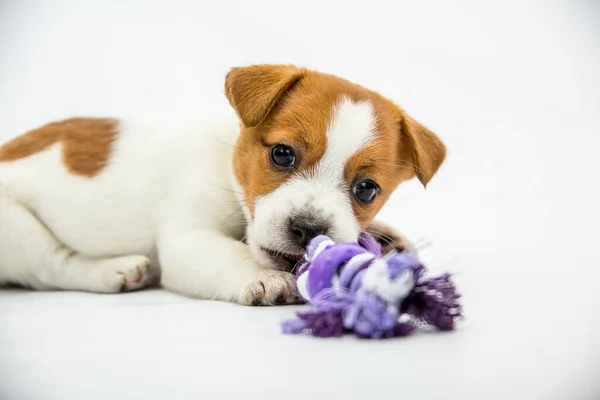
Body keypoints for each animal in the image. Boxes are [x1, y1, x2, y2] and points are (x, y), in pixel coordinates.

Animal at [0, 64, 442, 304]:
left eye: (366, 189)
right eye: (282, 154)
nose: (307, 230)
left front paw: (387, 237)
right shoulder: (188, 239)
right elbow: (232, 254)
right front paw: (265, 278)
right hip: (17, 229)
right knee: (52, 266)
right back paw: (116, 271)